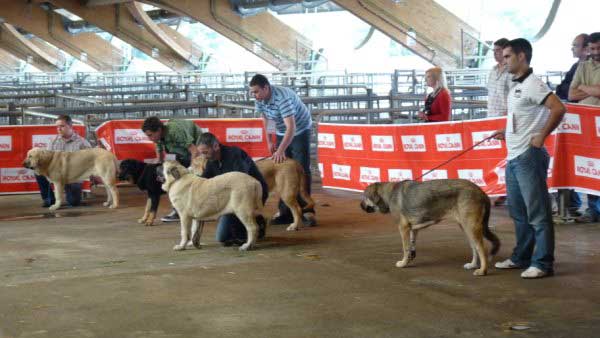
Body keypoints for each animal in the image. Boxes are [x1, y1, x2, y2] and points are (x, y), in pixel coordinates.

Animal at [360, 181, 502, 276]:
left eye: (364, 197)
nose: (360, 206)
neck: (388, 194)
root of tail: (481, 192)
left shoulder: (403, 228)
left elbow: (405, 248)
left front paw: (403, 263)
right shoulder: (413, 229)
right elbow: (411, 245)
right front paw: (410, 258)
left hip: (471, 226)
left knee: (481, 248)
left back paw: (482, 270)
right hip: (465, 227)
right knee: (474, 247)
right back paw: (472, 265)